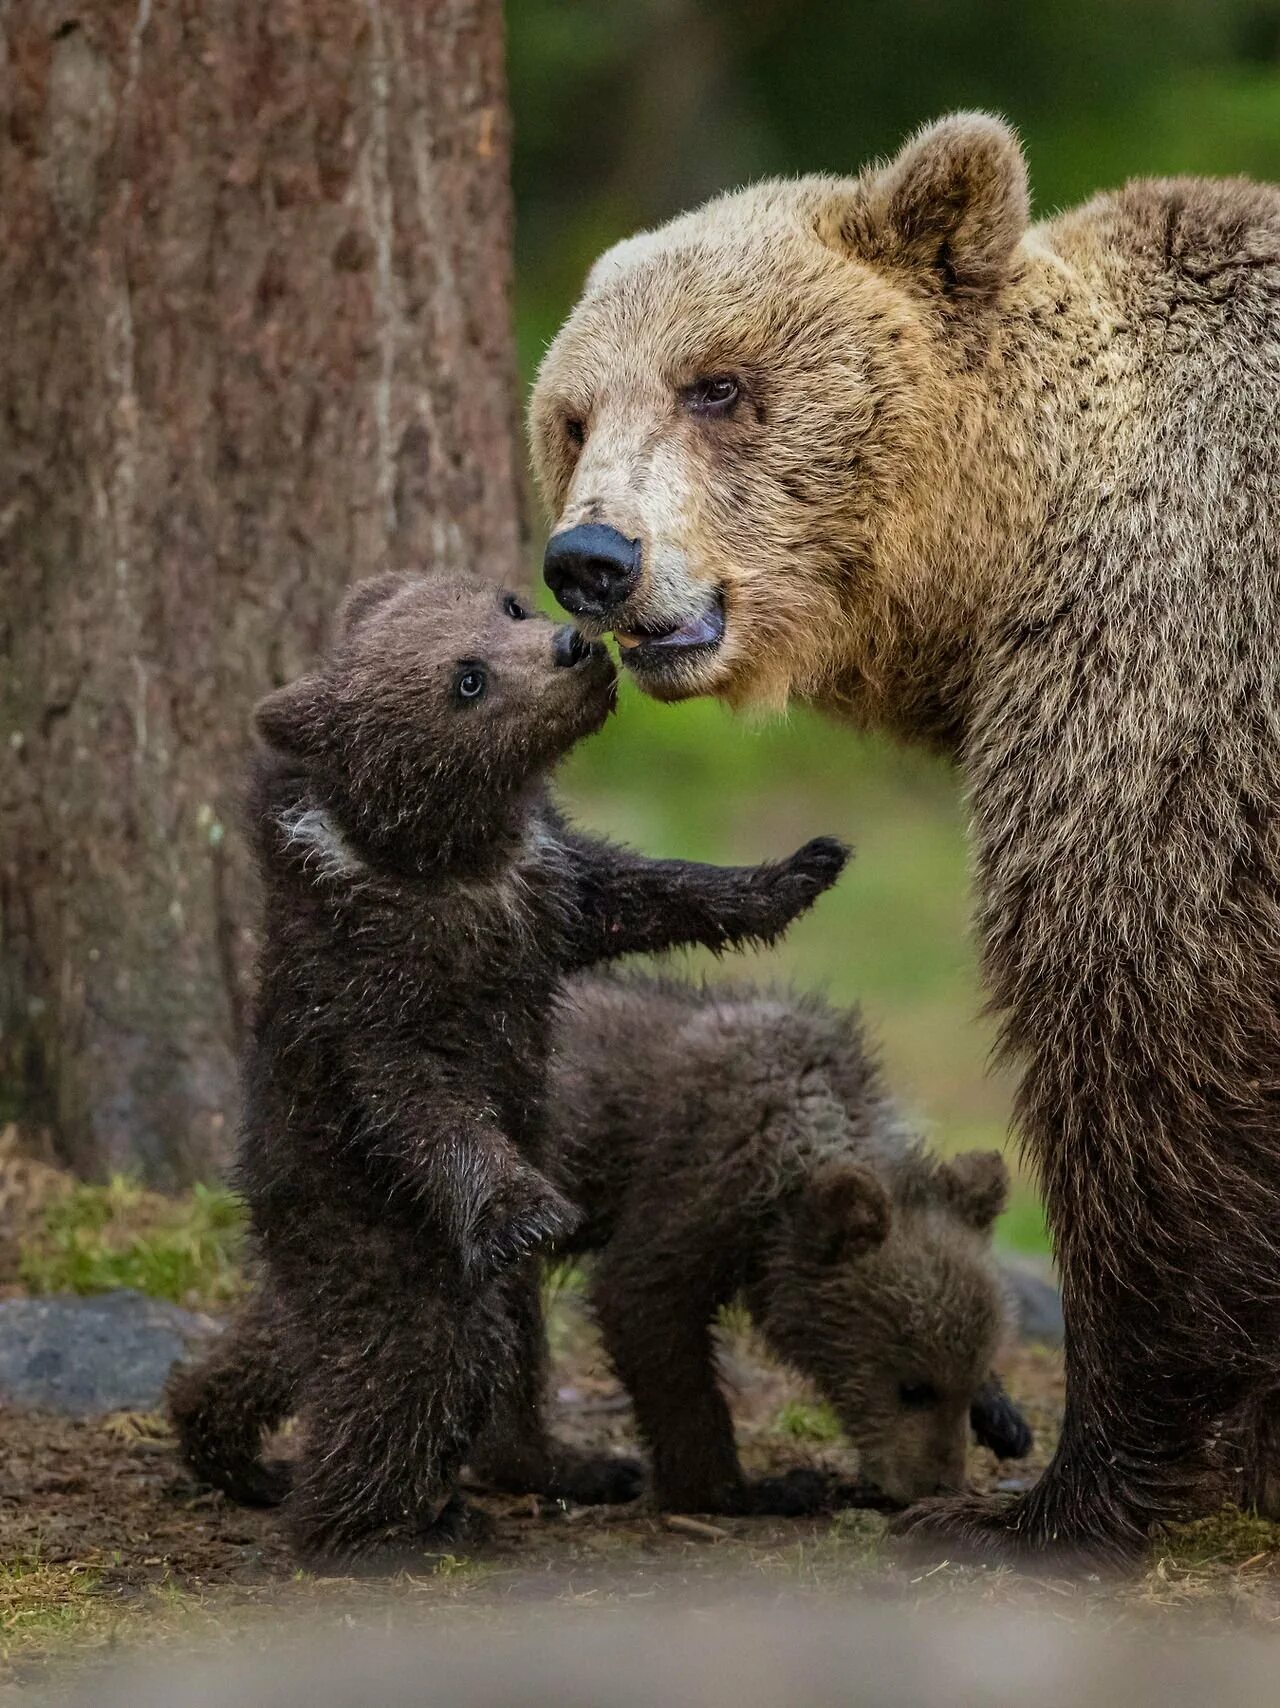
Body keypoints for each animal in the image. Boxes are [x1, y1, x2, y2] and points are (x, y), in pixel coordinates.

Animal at [526, 113, 1278, 1564]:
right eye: (573, 413)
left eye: (717, 384)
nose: (590, 559)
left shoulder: (1170, 683)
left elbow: (1143, 1039)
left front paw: (1059, 1491)